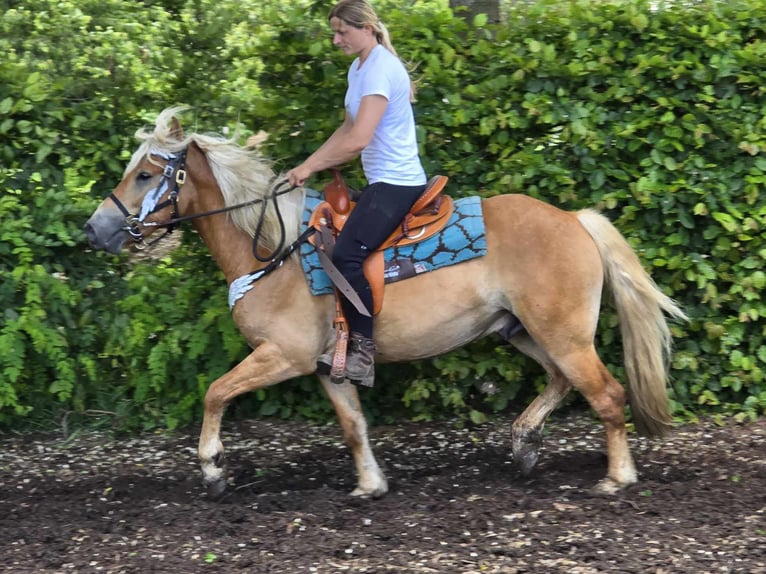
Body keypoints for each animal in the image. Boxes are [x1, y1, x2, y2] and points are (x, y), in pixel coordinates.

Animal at [85, 108, 688, 500]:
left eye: (145, 173)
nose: (96, 228)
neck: (274, 247)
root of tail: (573, 220)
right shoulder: (326, 366)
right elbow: (354, 425)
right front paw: (370, 485)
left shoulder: (284, 356)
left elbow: (215, 393)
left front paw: (213, 470)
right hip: (521, 330)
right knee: (562, 382)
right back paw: (523, 444)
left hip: (562, 334)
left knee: (606, 394)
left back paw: (616, 477)